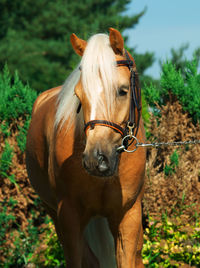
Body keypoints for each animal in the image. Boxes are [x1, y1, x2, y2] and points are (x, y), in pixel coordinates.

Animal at [25, 28, 146, 266]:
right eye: (78, 95)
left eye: (122, 90)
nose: (95, 159)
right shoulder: (68, 216)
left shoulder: (128, 215)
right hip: (55, 213)